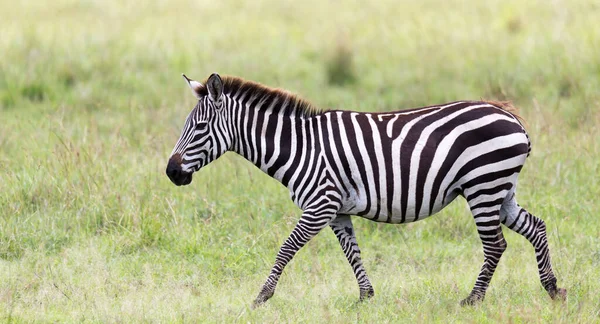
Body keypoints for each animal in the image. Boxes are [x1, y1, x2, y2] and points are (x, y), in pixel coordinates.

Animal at [166, 73, 564, 306]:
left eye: (199, 128)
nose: (171, 173)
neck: (299, 147)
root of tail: (509, 115)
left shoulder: (320, 204)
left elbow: (286, 249)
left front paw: (261, 297)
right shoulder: (337, 210)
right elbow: (352, 253)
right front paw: (366, 297)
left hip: (484, 185)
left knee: (496, 245)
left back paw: (473, 299)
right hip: (500, 189)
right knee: (536, 227)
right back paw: (552, 289)